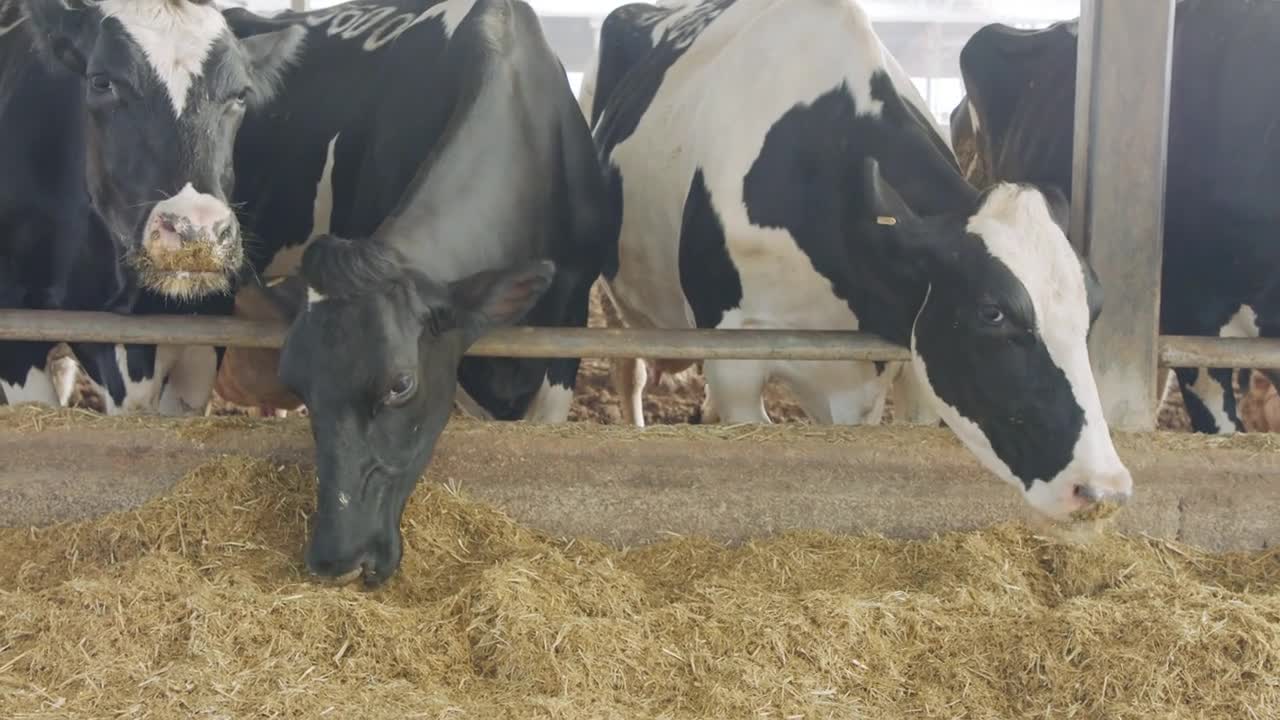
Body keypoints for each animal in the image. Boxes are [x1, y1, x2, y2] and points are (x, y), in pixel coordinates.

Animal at [581, 0, 1131, 517]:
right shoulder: (735, 358)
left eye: (1093, 309)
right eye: (991, 312)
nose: (1102, 488)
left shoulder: (909, 363)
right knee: (629, 370)